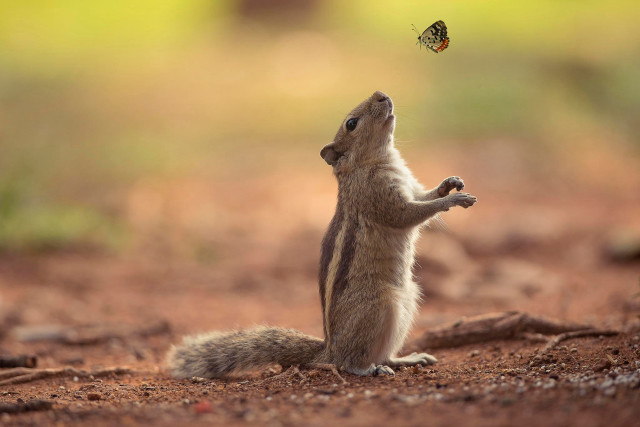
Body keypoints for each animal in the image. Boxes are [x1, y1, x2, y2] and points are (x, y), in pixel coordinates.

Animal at [166, 91, 477, 378]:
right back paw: (369, 369)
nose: (381, 94)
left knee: (384, 353)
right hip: (380, 306)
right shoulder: (379, 197)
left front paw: (450, 183)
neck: (372, 161)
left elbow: (425, 195)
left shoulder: (411, 187)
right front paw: (453, 200)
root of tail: (329, 349)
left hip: (409, 299)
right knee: (350, 362)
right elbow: (408, 214)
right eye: (351, 123)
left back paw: (406, 359)